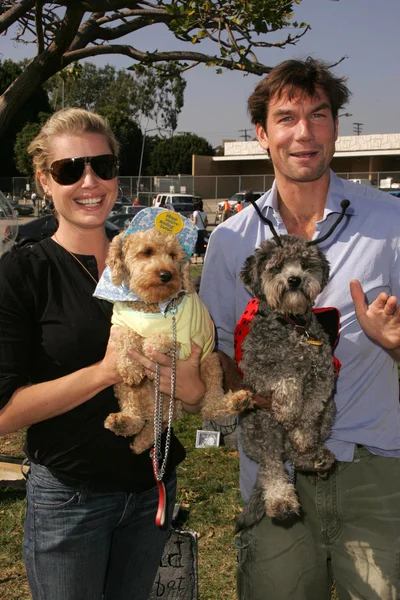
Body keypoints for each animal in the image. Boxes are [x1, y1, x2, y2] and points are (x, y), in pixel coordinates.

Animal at [104, 227, 241, 452]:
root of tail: (159, 412)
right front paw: (132, 366)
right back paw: (123, 422)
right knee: (136, 417)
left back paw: (237, 401)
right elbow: (127, 335)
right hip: (124, 388)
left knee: (211, 406)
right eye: (147, 251)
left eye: (173, 255)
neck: (152, 305)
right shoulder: (119, 324)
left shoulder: (183, 341)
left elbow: (159, 339)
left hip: (211, 364)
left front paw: (149, 348)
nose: (166, 275)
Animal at [234, 237, 338, 532]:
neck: (293, 326)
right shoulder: (257, 370)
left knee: (295, 454)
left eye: (304, 263)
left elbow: (310, 410)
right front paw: (289, 408)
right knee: (270, 466)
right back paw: (281, 501)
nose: (294, 279)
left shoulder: (323, 376)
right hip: (260, 426)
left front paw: (301, 431)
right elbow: (287, 377)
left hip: (330, 413)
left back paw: (314, 457)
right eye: (277, 266)